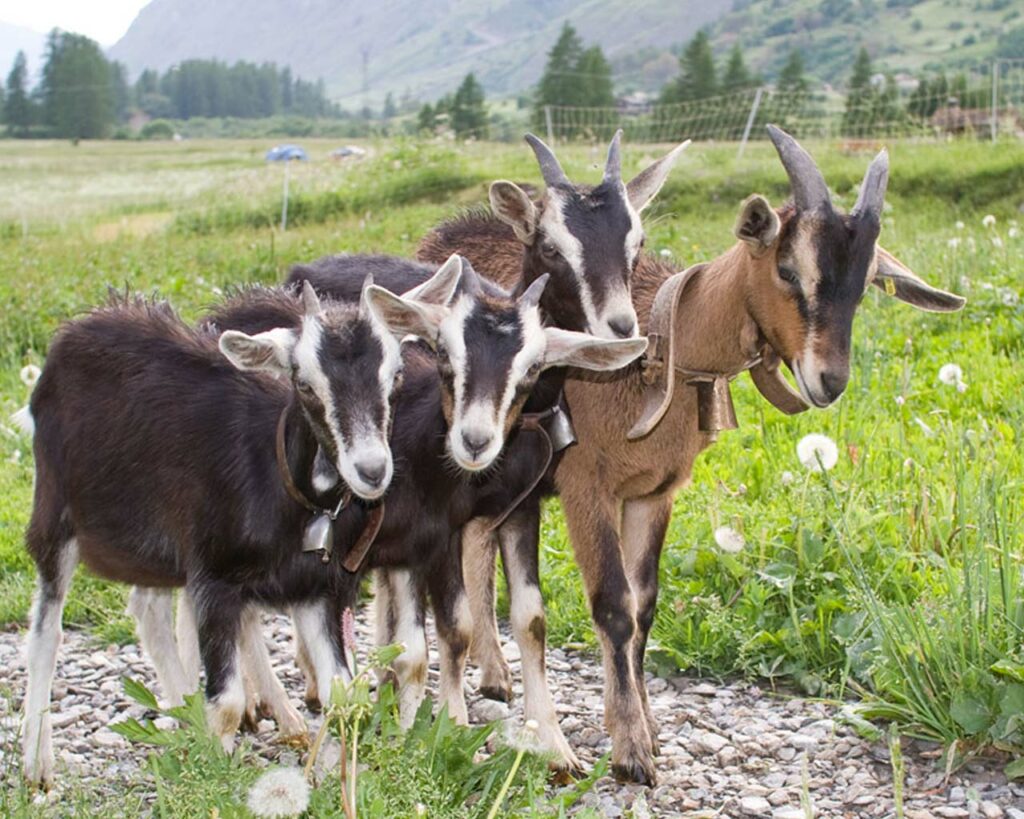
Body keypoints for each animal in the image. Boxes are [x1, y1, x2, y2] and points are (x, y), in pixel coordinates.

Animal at [17, 268, 460, 786]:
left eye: (396, 375)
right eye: (304, 384)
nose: (371, 470)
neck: (284, 483)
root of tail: (72, 333)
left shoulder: (316, 590)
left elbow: (342, 691)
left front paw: (338, 775)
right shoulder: (215, 579)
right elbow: (226, 703)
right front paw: (217, 775)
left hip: (161, 541)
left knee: (147, 607)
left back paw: (187, 718)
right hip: (55, 513)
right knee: (47, 631)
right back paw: (37, 763)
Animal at [417, 124, 966, 782]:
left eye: (864, 284)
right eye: (788, 269)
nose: (829, 381)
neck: (658, 353)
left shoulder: (655, 492)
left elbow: (645, 607)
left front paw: (645, 725)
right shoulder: (586, 486)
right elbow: (613, 605)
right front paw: (630, 750)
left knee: (481, 542)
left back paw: (496, 674)